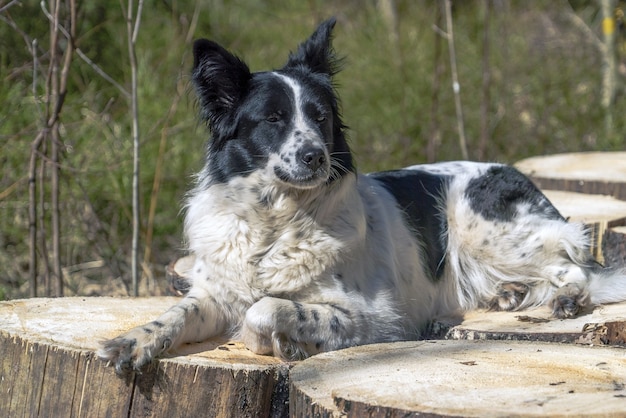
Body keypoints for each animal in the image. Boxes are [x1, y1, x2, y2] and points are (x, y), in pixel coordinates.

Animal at [97, 18, 624, 374]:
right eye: (273, 119)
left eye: (321, 116)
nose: (314, 156)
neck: (275, 221)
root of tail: (516, 174)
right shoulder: (213, 294)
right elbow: (176, 312)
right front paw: (131, 341)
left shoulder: (377, 316)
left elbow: (263, 309)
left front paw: (284, 343)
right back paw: (510, 293)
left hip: (484, 228)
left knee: (578, 269)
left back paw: (565, 299)